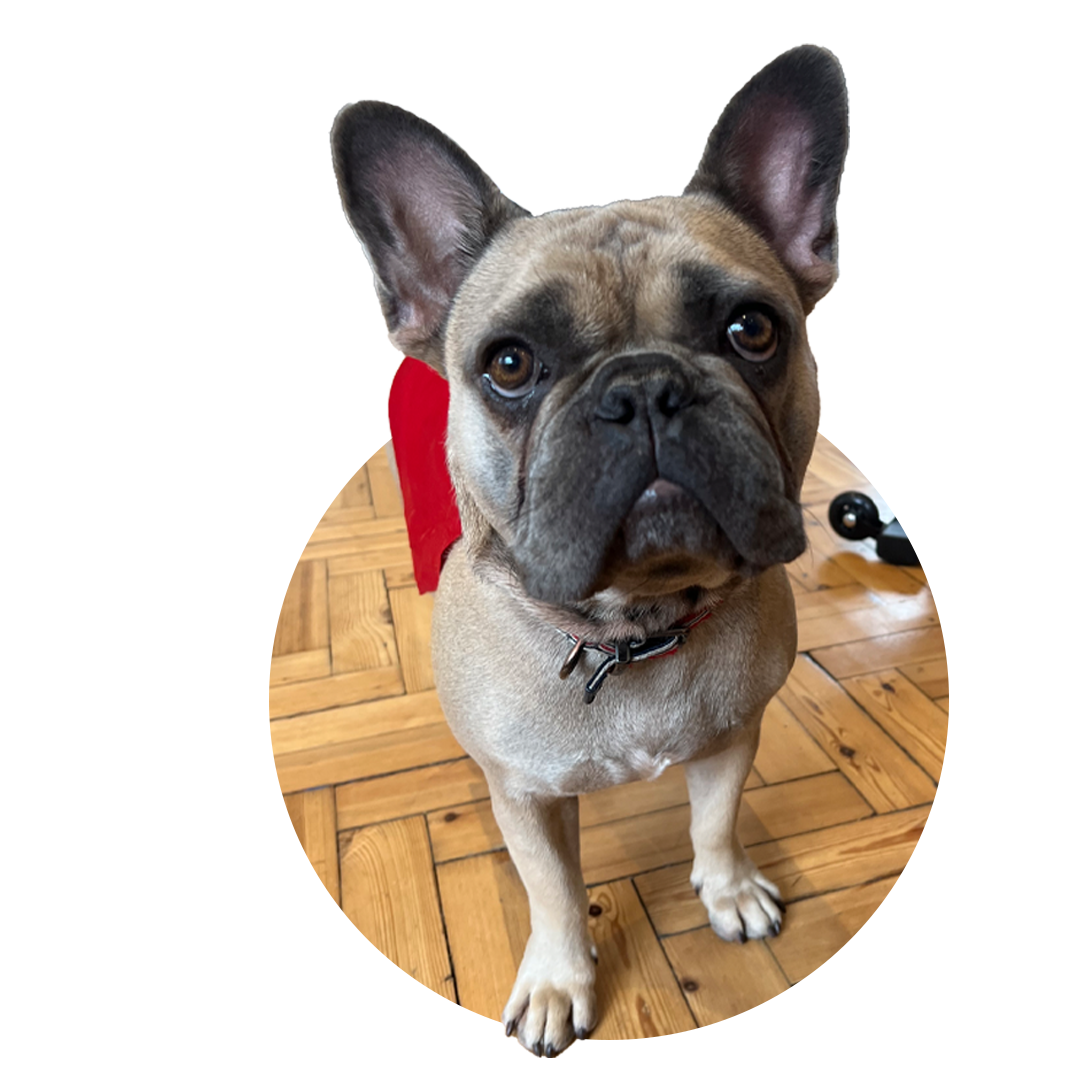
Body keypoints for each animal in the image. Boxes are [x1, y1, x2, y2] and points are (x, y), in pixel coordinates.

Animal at [330, 43, 848, 1053]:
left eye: (753, 329)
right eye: (509, 363)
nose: (644, 387)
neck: (632, 630)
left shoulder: (734, 735)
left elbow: (717, 821)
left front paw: (728, 890)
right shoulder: (527, 798)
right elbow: (556, 893)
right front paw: (558, 980)